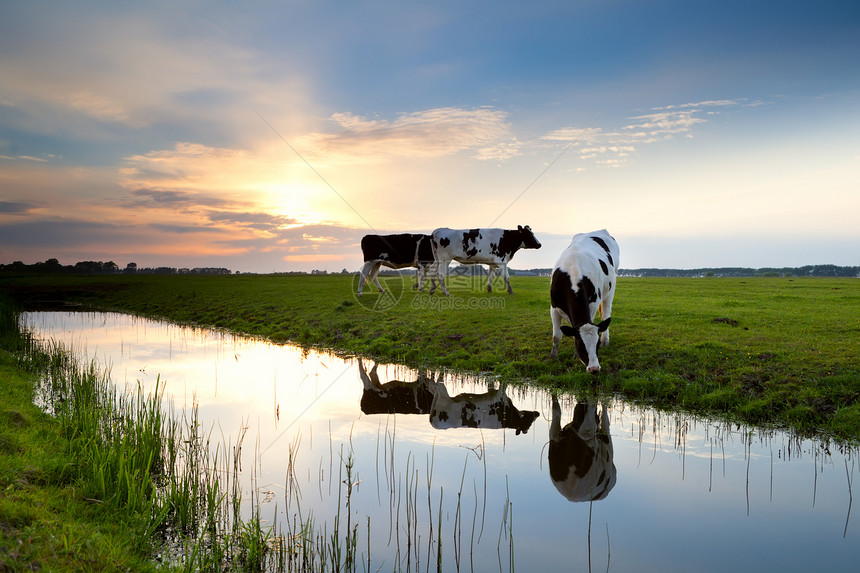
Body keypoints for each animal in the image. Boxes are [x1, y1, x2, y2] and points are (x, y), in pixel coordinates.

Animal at [552, 230, 620, 374]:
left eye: (597, 344)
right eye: (580, 345)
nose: (594, 368)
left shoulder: (593, 304)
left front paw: (574, 356)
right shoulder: (554, 308)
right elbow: (556, 336)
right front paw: (553, 357)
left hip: (610, 289)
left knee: (606, 312)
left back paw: (606, 340)